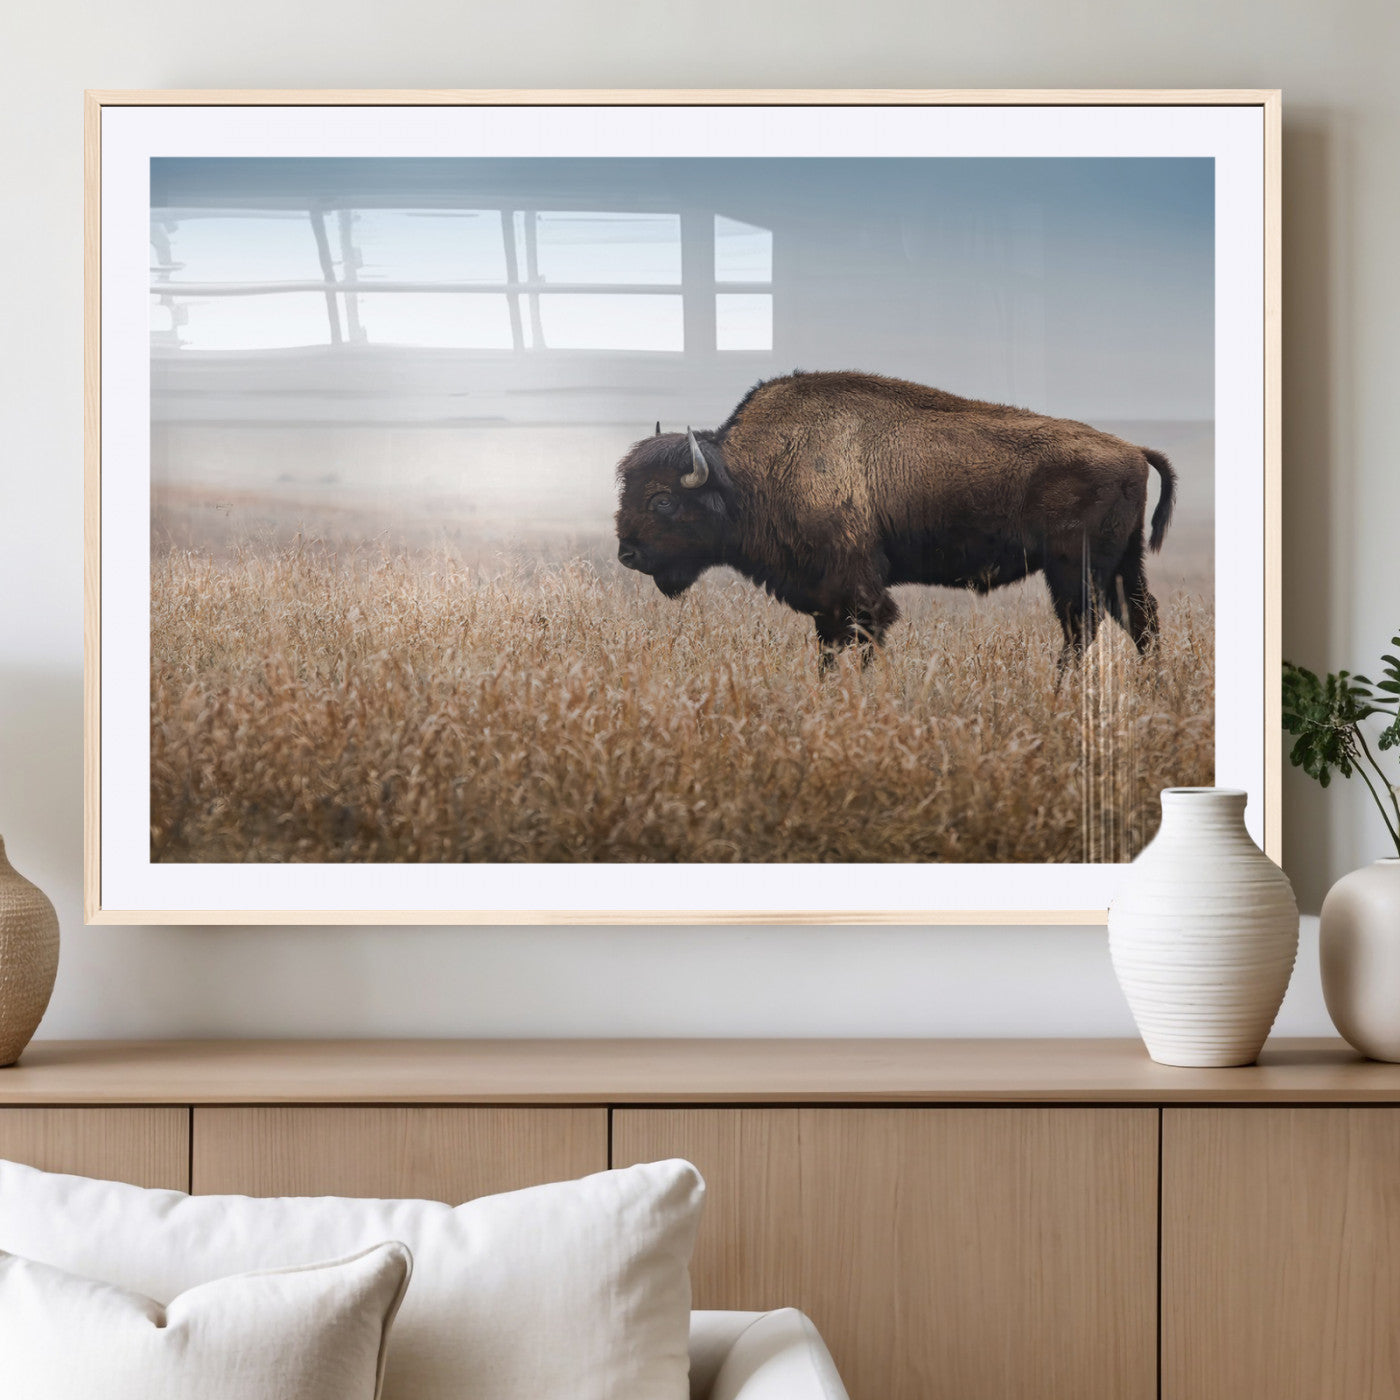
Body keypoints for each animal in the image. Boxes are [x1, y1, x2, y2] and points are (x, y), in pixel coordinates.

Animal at [614, 371, 1176, 672]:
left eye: (662, 500)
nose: (627, 554)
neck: (751, 472)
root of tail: (1132, 449)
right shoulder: (825, 599)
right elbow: (829, 647)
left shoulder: (858, 590)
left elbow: (864, 638)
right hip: (1123, 564)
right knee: (1140, 619)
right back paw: (1152, 686)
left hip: (1073, 568)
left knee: (1083, 627)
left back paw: (1060, 691)